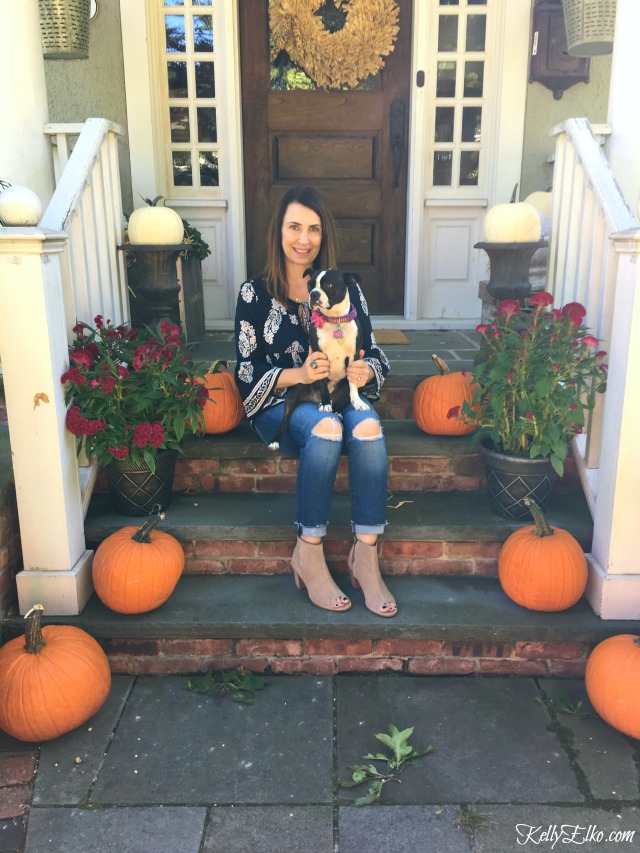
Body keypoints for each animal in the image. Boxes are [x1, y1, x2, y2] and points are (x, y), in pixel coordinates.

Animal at [270, 270, 370, 450]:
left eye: (328, 285)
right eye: (309, 285)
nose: (314, 294)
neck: (335, 320)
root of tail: (312, 399)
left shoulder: (354, 357)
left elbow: (353, 384)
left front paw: (358, 402)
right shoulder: (320, 358)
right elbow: (323, 382)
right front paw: (325, 403)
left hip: (342, 391)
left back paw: (336, 411)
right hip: (294, 394)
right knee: (284, 421)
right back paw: (275, 439)